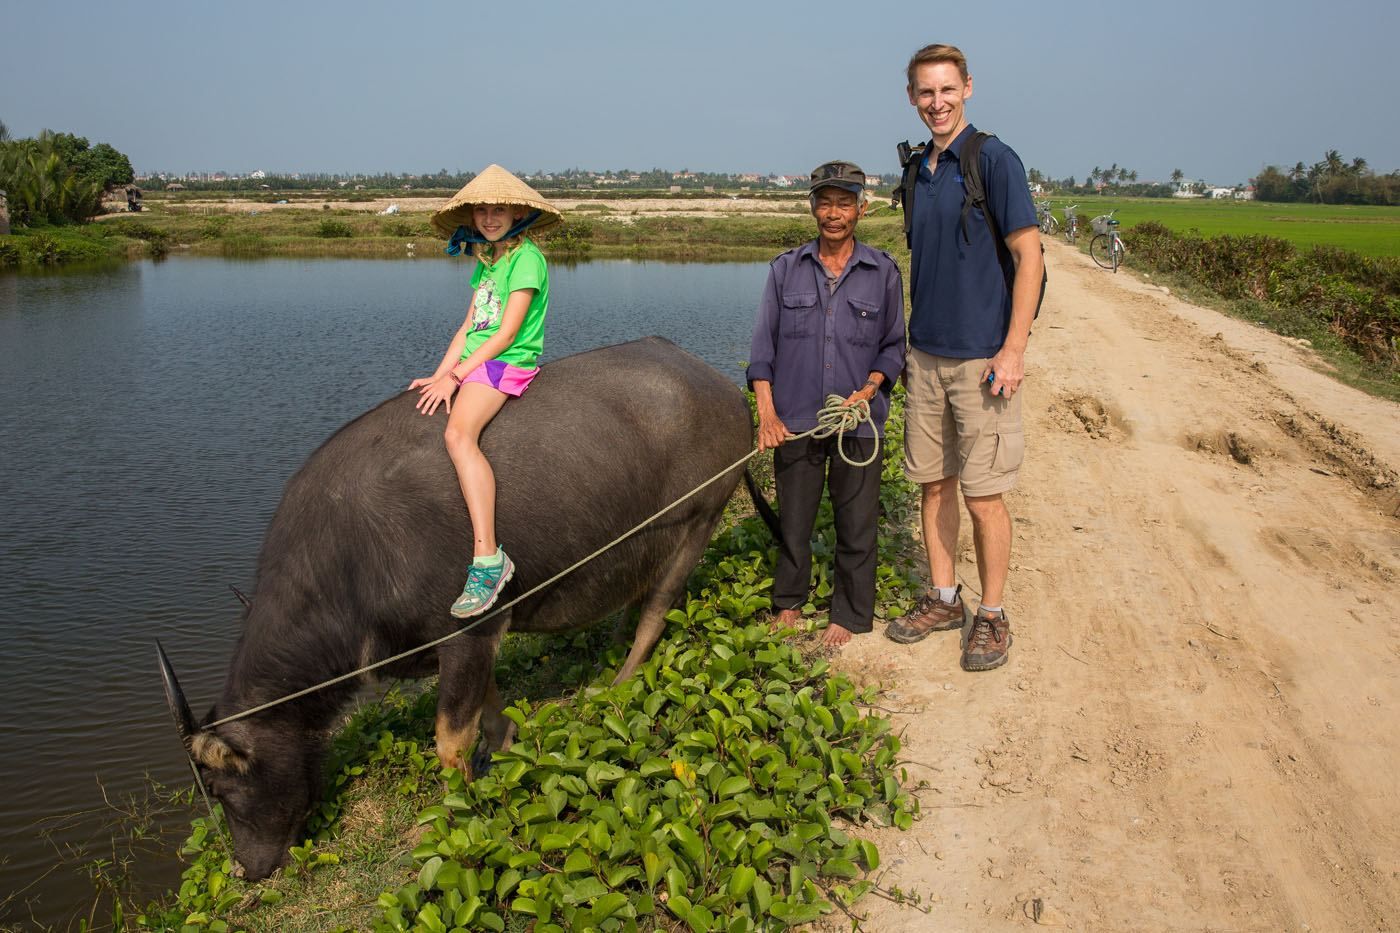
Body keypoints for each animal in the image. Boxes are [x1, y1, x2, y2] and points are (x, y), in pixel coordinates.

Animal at [158, 337, 761, 874]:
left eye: (221, 789)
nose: (248, 869)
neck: (349, 562)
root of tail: (725, 389)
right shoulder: (475, 639)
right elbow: (488, 705)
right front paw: (506, 748)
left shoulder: (466, 634)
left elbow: (450, 742)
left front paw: (458, 811)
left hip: (700, 520)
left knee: (656, 613)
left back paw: (619, 682)